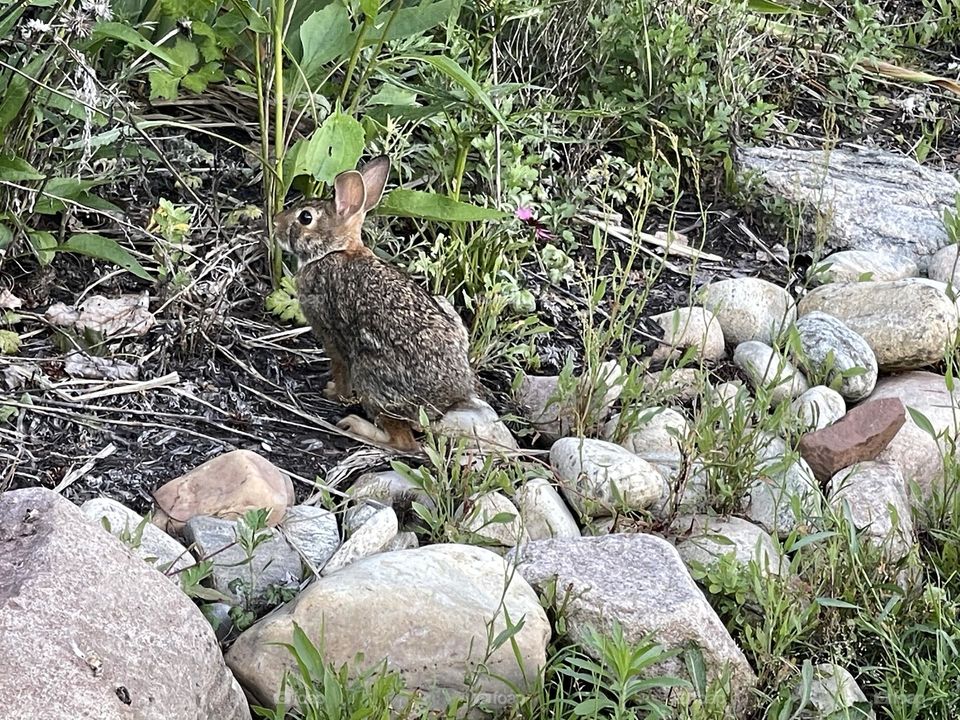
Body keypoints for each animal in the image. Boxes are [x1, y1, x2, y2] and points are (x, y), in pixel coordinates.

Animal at [274, 155, 480, 451]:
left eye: (305, 217)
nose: (276, 223)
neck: (335, 250)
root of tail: (448, 399)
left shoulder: (330, 334)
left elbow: (339, 368)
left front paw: (335, 393)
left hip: (371, 377)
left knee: (403, 442)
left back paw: (357, 427)